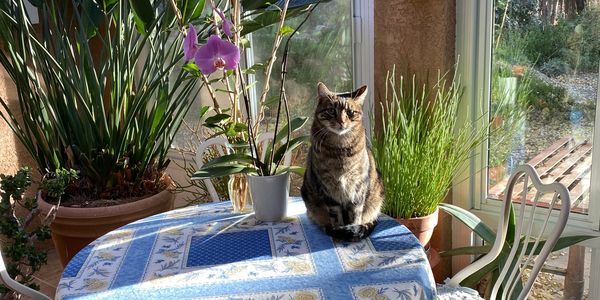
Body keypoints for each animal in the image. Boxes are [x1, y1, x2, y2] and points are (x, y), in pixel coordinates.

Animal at [300, 83, 384, 243]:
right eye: (331, 111)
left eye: (351, 112)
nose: (341, 121)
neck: (340, 151)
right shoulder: (327, 188)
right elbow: (335, 215)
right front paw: (339, 231)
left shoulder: (358, 187)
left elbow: (355, 215)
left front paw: (352, 230)